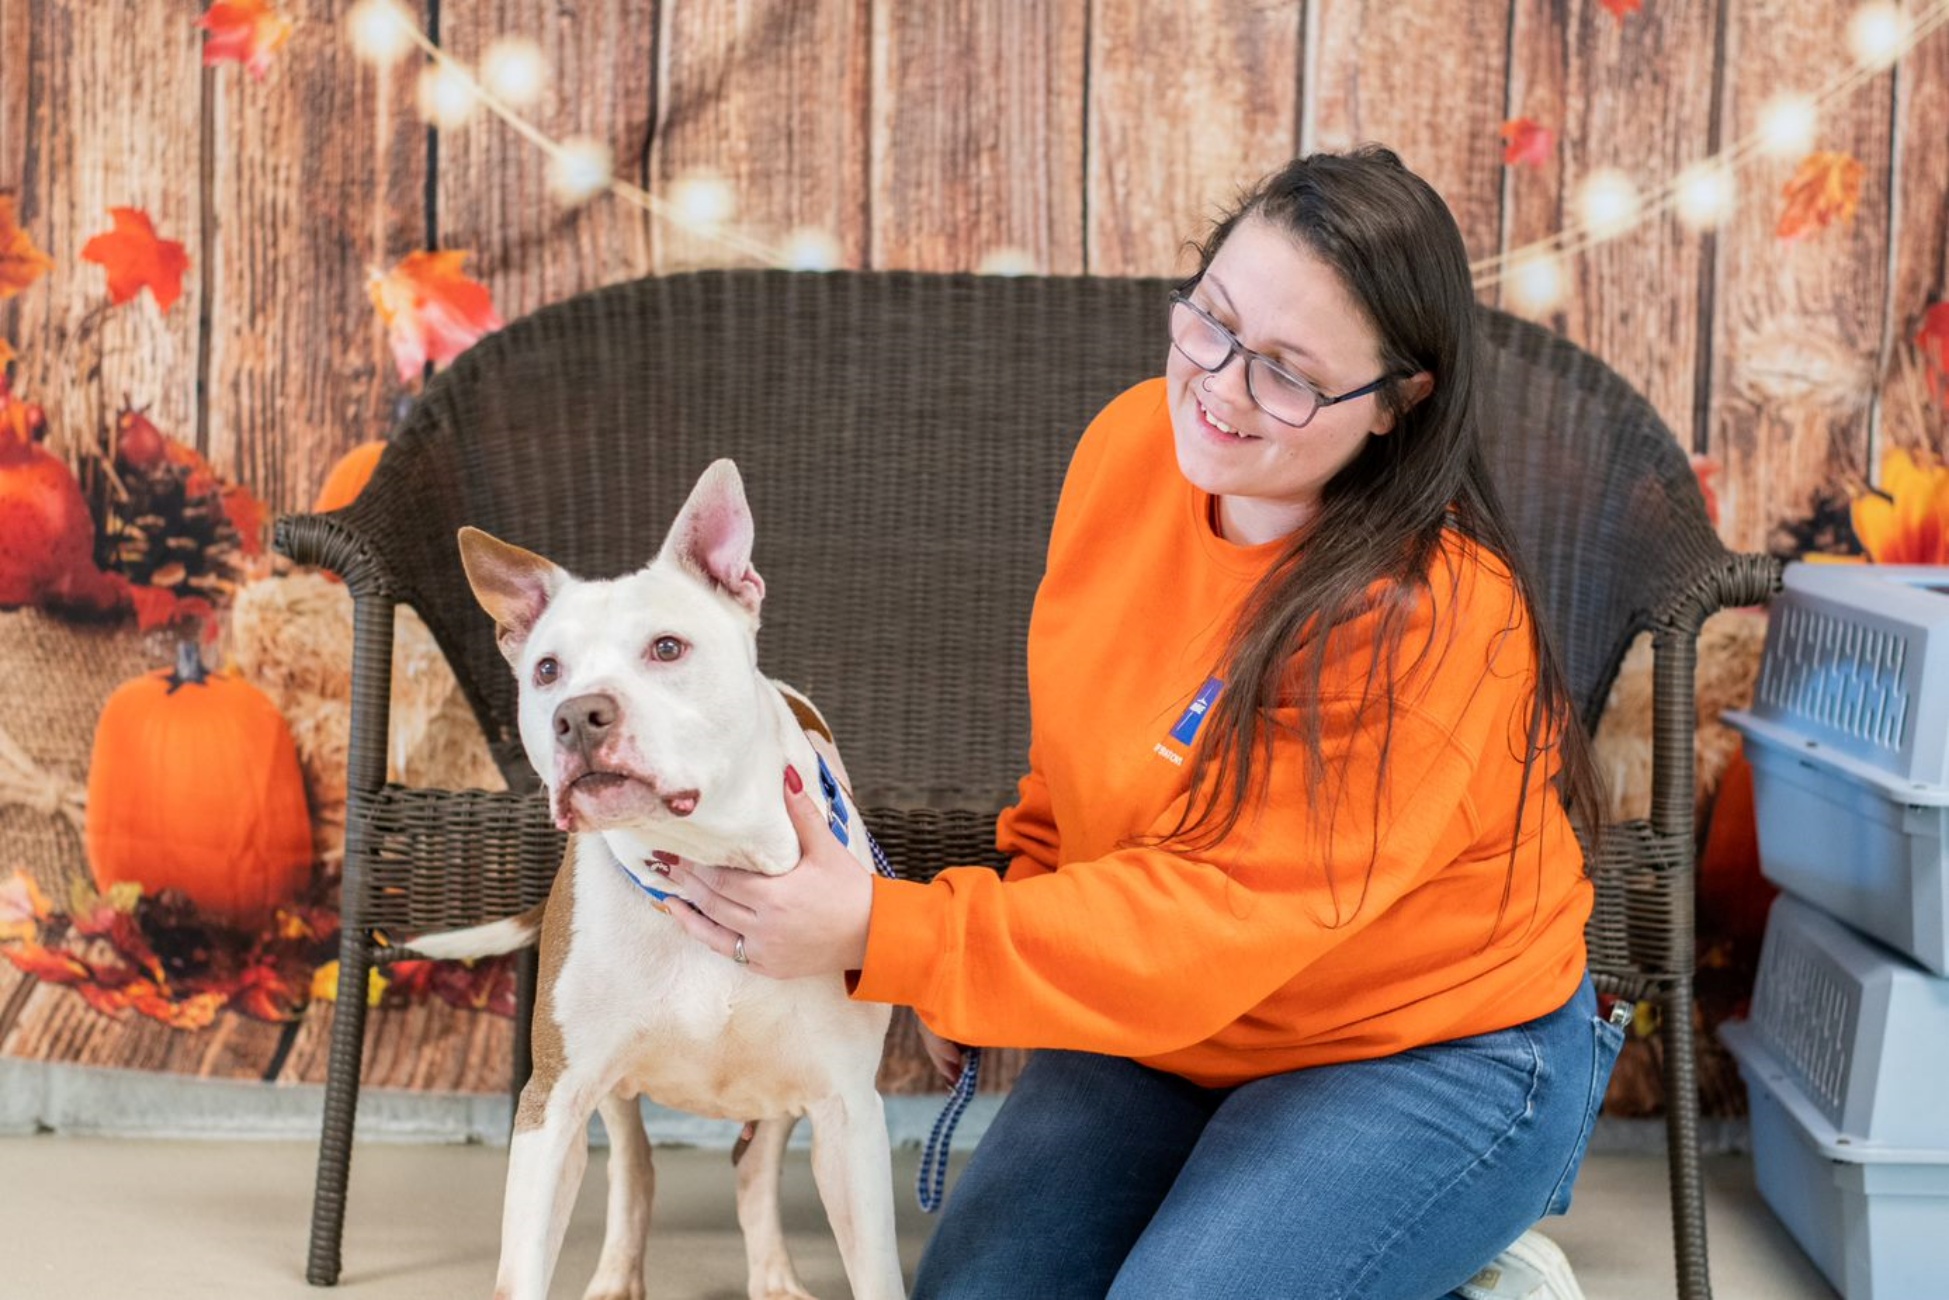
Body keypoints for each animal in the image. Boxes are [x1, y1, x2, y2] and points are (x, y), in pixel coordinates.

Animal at [415, 465, 900, 1300]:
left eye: (667, 648)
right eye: (547, 671)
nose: (578, 715)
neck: (706, 859)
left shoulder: (849, 1112)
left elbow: (874, 1269)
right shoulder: (552, 1100)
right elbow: (527, 1260)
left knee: (753, 1169)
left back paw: (773, 1276)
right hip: (607, 1090)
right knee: (635, 1168)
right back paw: (617, 1274)